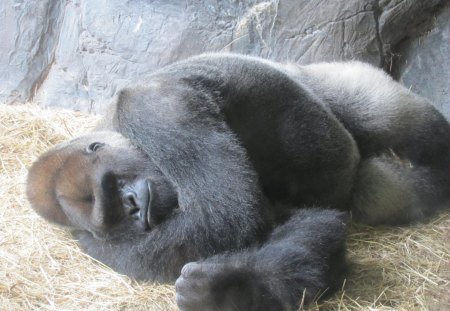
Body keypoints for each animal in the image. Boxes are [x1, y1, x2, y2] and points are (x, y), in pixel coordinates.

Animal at [26, 53, 448, 311]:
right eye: (113, 214)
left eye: (111, 187)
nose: (133, 206)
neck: (113, 121)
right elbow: (308, 229)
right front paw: (243, 286)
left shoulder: (154, 105)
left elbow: (227, 215)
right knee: (382, 192)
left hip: (334, 79)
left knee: (385, 113)